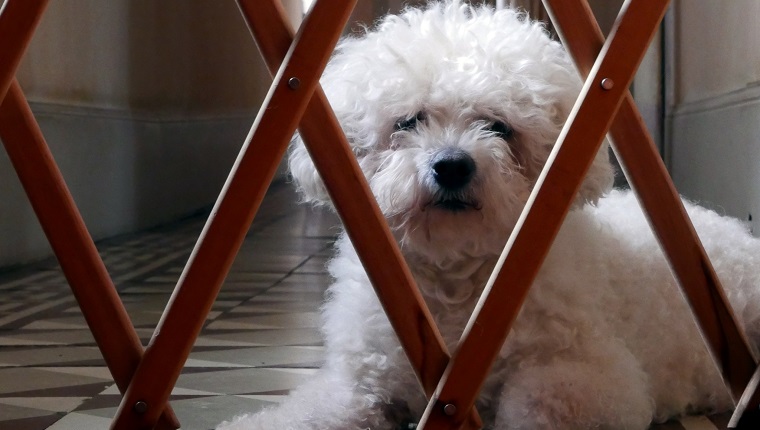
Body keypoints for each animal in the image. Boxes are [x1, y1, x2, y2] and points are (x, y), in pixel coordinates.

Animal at [218, 1, 760, 428]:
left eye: (499, 128)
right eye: (408, 122)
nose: (452, 166)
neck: (457, 281)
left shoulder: (598, 376)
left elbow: (535, 403)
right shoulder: (362, 382)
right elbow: (311, 411)